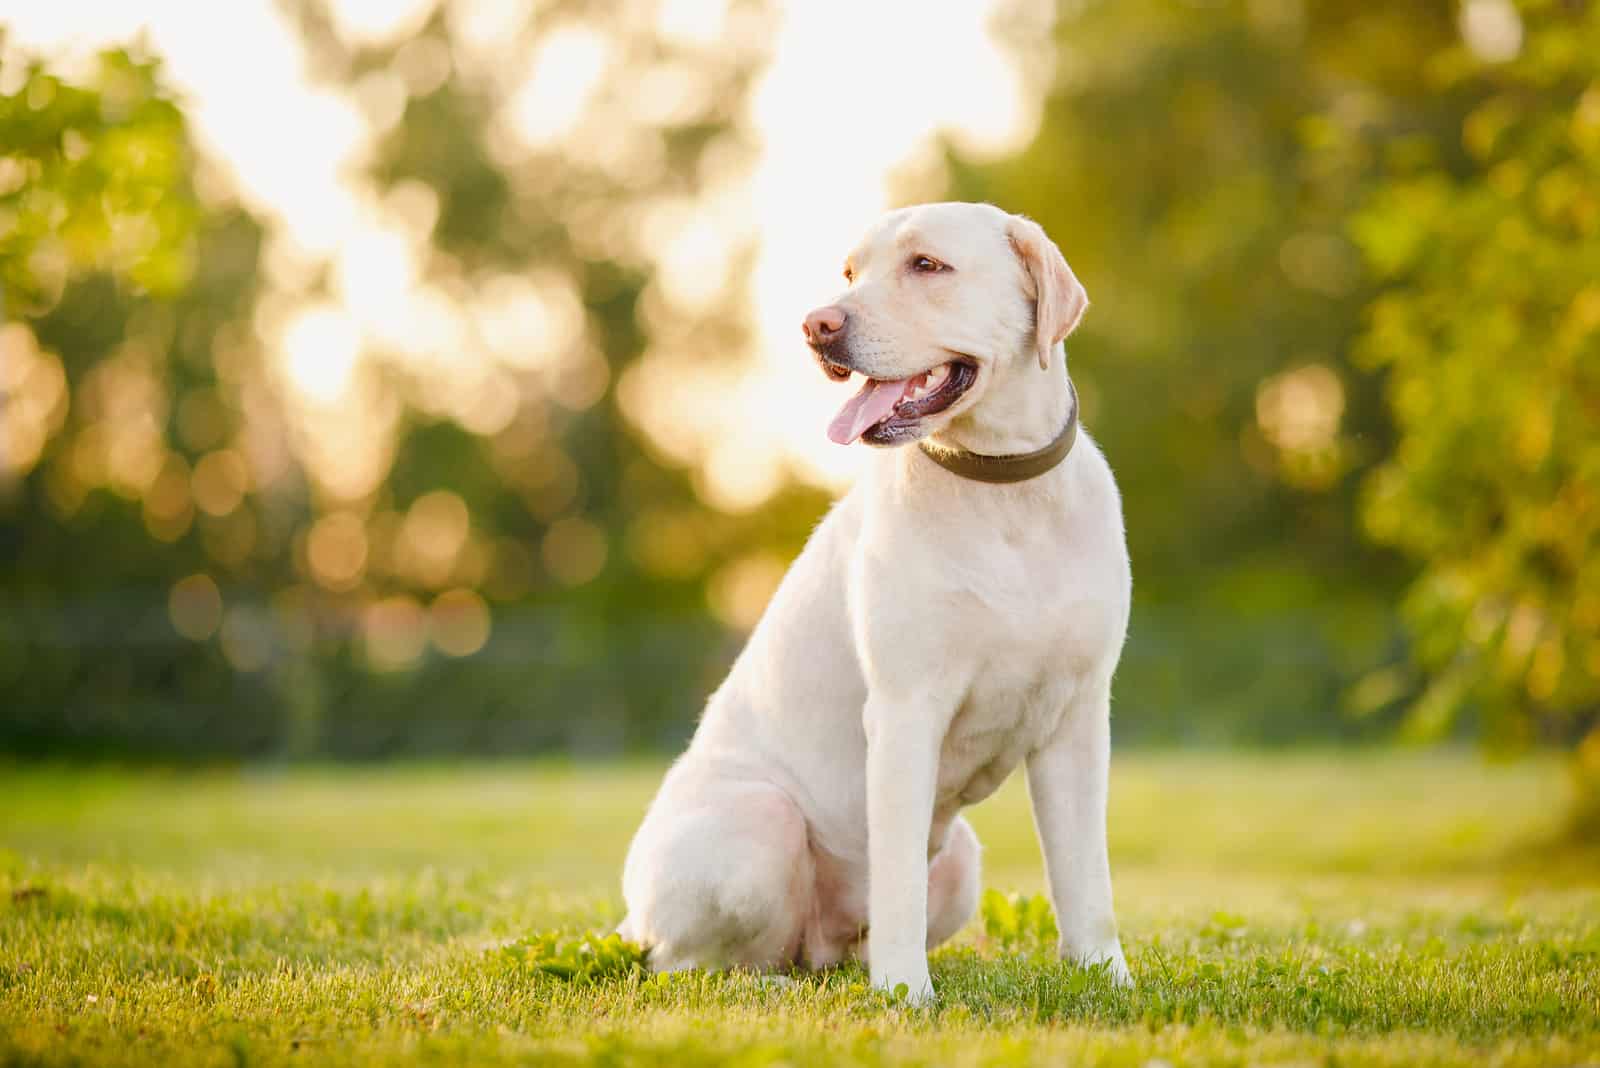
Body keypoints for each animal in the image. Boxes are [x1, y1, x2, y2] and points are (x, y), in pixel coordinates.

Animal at [617, 199, 1132, 1004]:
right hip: (757, 823)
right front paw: (905, 996)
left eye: (927, 265)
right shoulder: (905, 710)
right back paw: (770, 990)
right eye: (851, 271)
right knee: (694, 963)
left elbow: (1087, 881)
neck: (1005, 491)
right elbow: (897, 883)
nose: (816, 324)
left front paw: (1107, 980)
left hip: (962, 861)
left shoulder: (1076, 719)